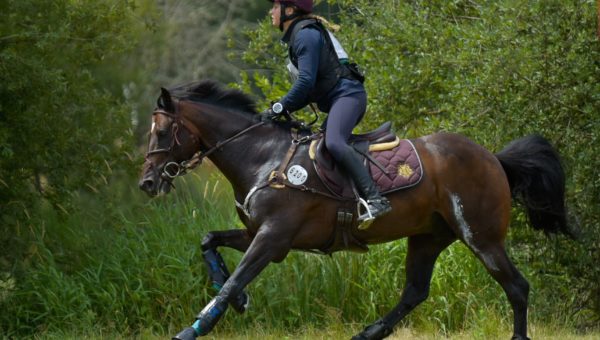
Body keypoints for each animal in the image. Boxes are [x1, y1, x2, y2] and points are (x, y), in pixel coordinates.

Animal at [138, 80, 568, 340]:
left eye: (162, 132)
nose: (147, 183)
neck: (262, 157)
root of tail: (494, 159)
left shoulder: (273, 237)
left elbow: (233, 281)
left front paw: (195, 328)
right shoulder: (261, 235)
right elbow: (209, 241)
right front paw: (237, 299)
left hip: (480, 236)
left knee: (516, 287)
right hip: (428, 236)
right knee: (415, 291)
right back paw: (368, 332)